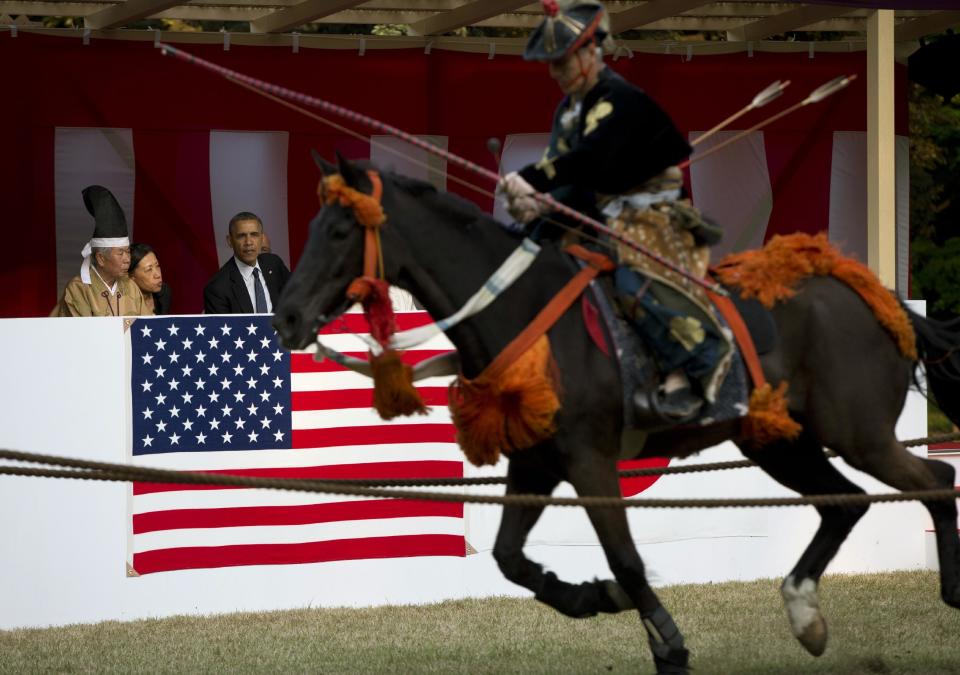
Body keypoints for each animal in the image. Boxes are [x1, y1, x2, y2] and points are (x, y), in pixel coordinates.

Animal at [272, 154, 960, 675]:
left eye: (339, 232)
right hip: (778, 442)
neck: (525, 311)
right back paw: (804, 613)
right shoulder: (535, 464)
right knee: (846, 503)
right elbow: (509, 557)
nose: (287, 316)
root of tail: (872, 294)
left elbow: (625, 559)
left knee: (936, 481)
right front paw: (587, 597)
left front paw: (669, 646)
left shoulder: (590, 462)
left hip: (859, 434)